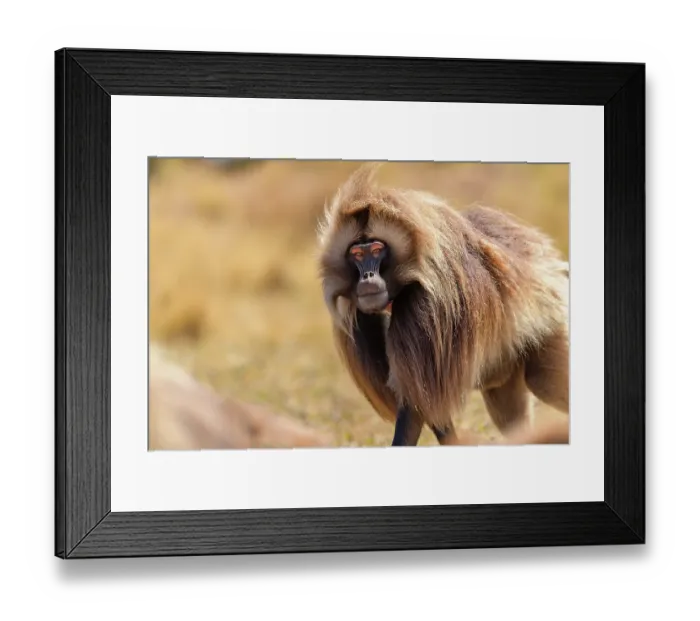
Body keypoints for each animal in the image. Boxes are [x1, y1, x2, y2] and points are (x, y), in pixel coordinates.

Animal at [317, 163, 570, 447]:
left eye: (377, 250)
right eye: (357, 254)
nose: (367, 278)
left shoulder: (425, 306)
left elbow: (416, 404)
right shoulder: (365, 317)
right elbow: (426, 404)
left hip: (547, 322)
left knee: (543, 382)